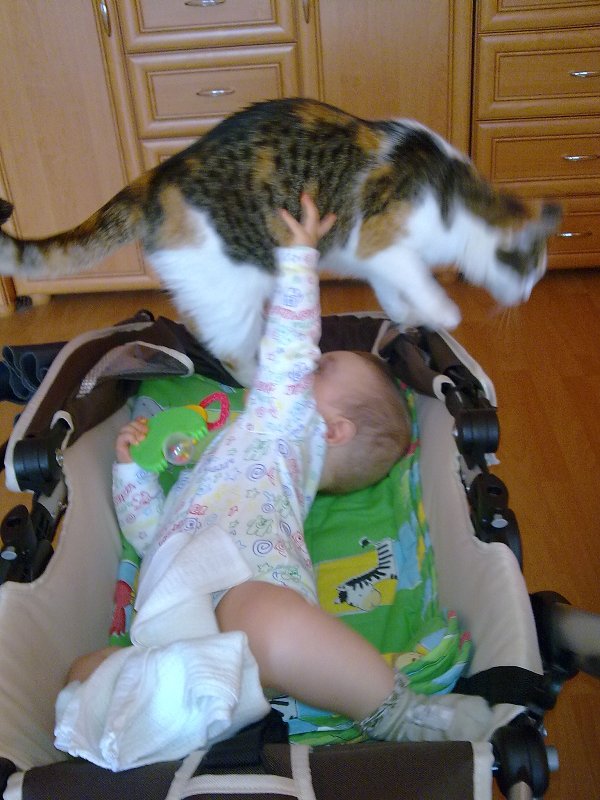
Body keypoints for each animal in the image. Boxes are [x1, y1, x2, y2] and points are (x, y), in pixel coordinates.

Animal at [0, 97, 560, 385]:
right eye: (530, 271)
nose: (527, 297)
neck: (457, 198)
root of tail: (154, 178)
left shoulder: (376, 260)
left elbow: (395, 291)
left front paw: (405, 318)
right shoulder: (382, 240)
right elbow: (424, 283)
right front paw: (444, 314)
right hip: (234, 288)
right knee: (229, 350)